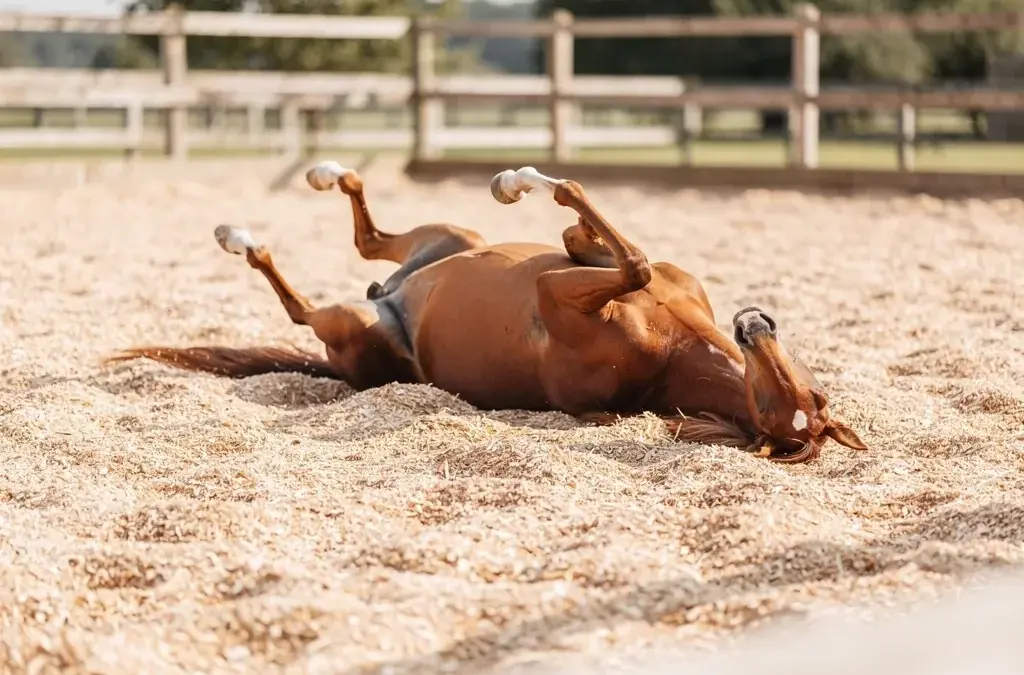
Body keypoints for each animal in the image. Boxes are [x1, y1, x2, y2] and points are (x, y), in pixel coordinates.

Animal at [106, 162, 867, 463]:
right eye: (814, 394)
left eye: (794, 408)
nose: (756, 326)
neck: (676, 342)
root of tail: (386, 304)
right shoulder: (581, 265)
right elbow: (609, 245)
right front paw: (521, 183)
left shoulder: (557, 293)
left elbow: (631, 257)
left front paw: (525, 181)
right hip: (450, 237)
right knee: (369, 240)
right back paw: (313, 183)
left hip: (350, 329)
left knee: (306, 304)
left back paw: (244, 239)